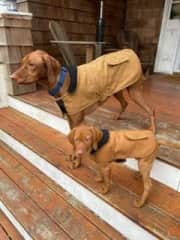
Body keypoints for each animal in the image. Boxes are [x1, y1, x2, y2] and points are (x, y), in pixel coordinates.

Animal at [10, 48, 155, 129]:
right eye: (22, 63)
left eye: (31, 64)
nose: (11, 77)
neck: (62, 82)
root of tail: (131, 52)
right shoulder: (71, 119)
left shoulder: (77, 120)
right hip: (116, 90)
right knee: (125, 103)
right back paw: (118, 117)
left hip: (134, 91)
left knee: (151, 111)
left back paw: (152, 130)